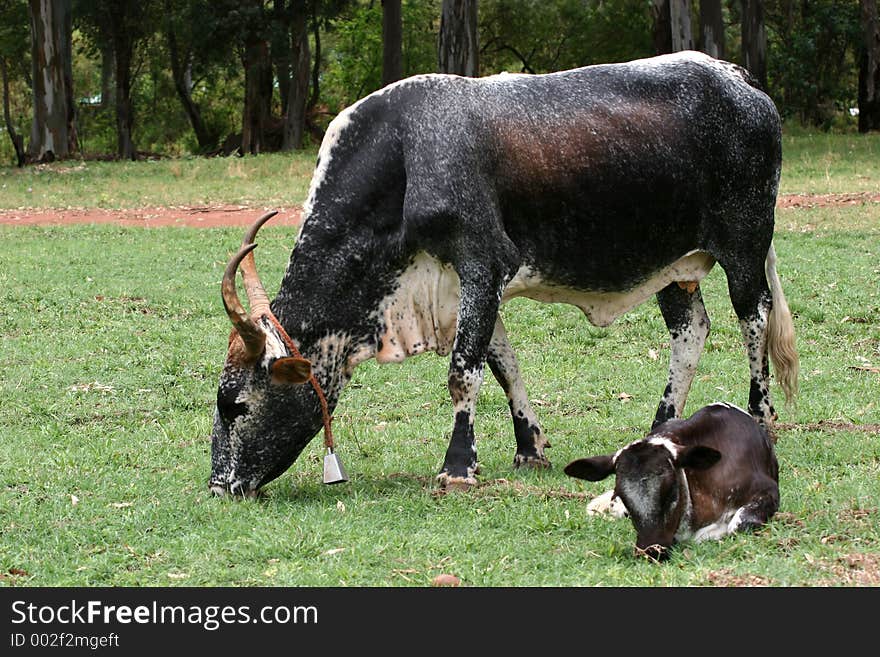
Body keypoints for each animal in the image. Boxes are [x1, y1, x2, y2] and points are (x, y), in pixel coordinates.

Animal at [211, 51, 796, 494]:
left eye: (235, 405)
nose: (221, 486)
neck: (405, 157)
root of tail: (737, 78)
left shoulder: (483, 264)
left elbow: (461, 372)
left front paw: (457, 467)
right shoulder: (466, 288)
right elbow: (502, 365)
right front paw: (528, 447)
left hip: (744, 246)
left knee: (754, 319)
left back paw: (761, 418)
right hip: (673, 267)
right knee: (690, 330)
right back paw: (660, 428)